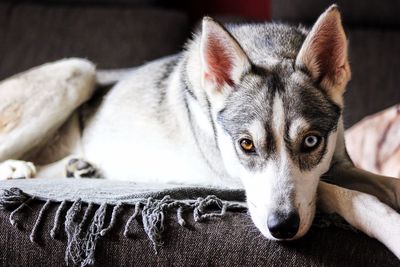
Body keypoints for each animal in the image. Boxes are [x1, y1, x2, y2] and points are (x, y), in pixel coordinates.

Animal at [0, 4, 400, 258]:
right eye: (246, 145)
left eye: (311, 141)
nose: (282, 227)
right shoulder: (229, 179)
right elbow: (346, 195)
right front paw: (391, 228)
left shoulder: (339, 163)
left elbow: (383, 183)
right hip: (76, 71)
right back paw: (19, 168)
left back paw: (74, 169)